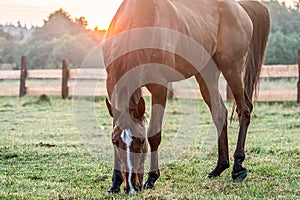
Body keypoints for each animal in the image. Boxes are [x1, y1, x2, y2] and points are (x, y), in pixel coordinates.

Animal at [102, 0, 270, 195]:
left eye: (141, 141)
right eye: (115, 142)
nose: (130, 186)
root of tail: (240, 8)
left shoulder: (160, 86)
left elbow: (155, 134)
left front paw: (152, 178)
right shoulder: (111, 85)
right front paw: (114, 183)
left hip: (232, 69)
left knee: (244, 110)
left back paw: (237, 166)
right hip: (207, 74)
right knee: (220, 113)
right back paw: (219, 168)